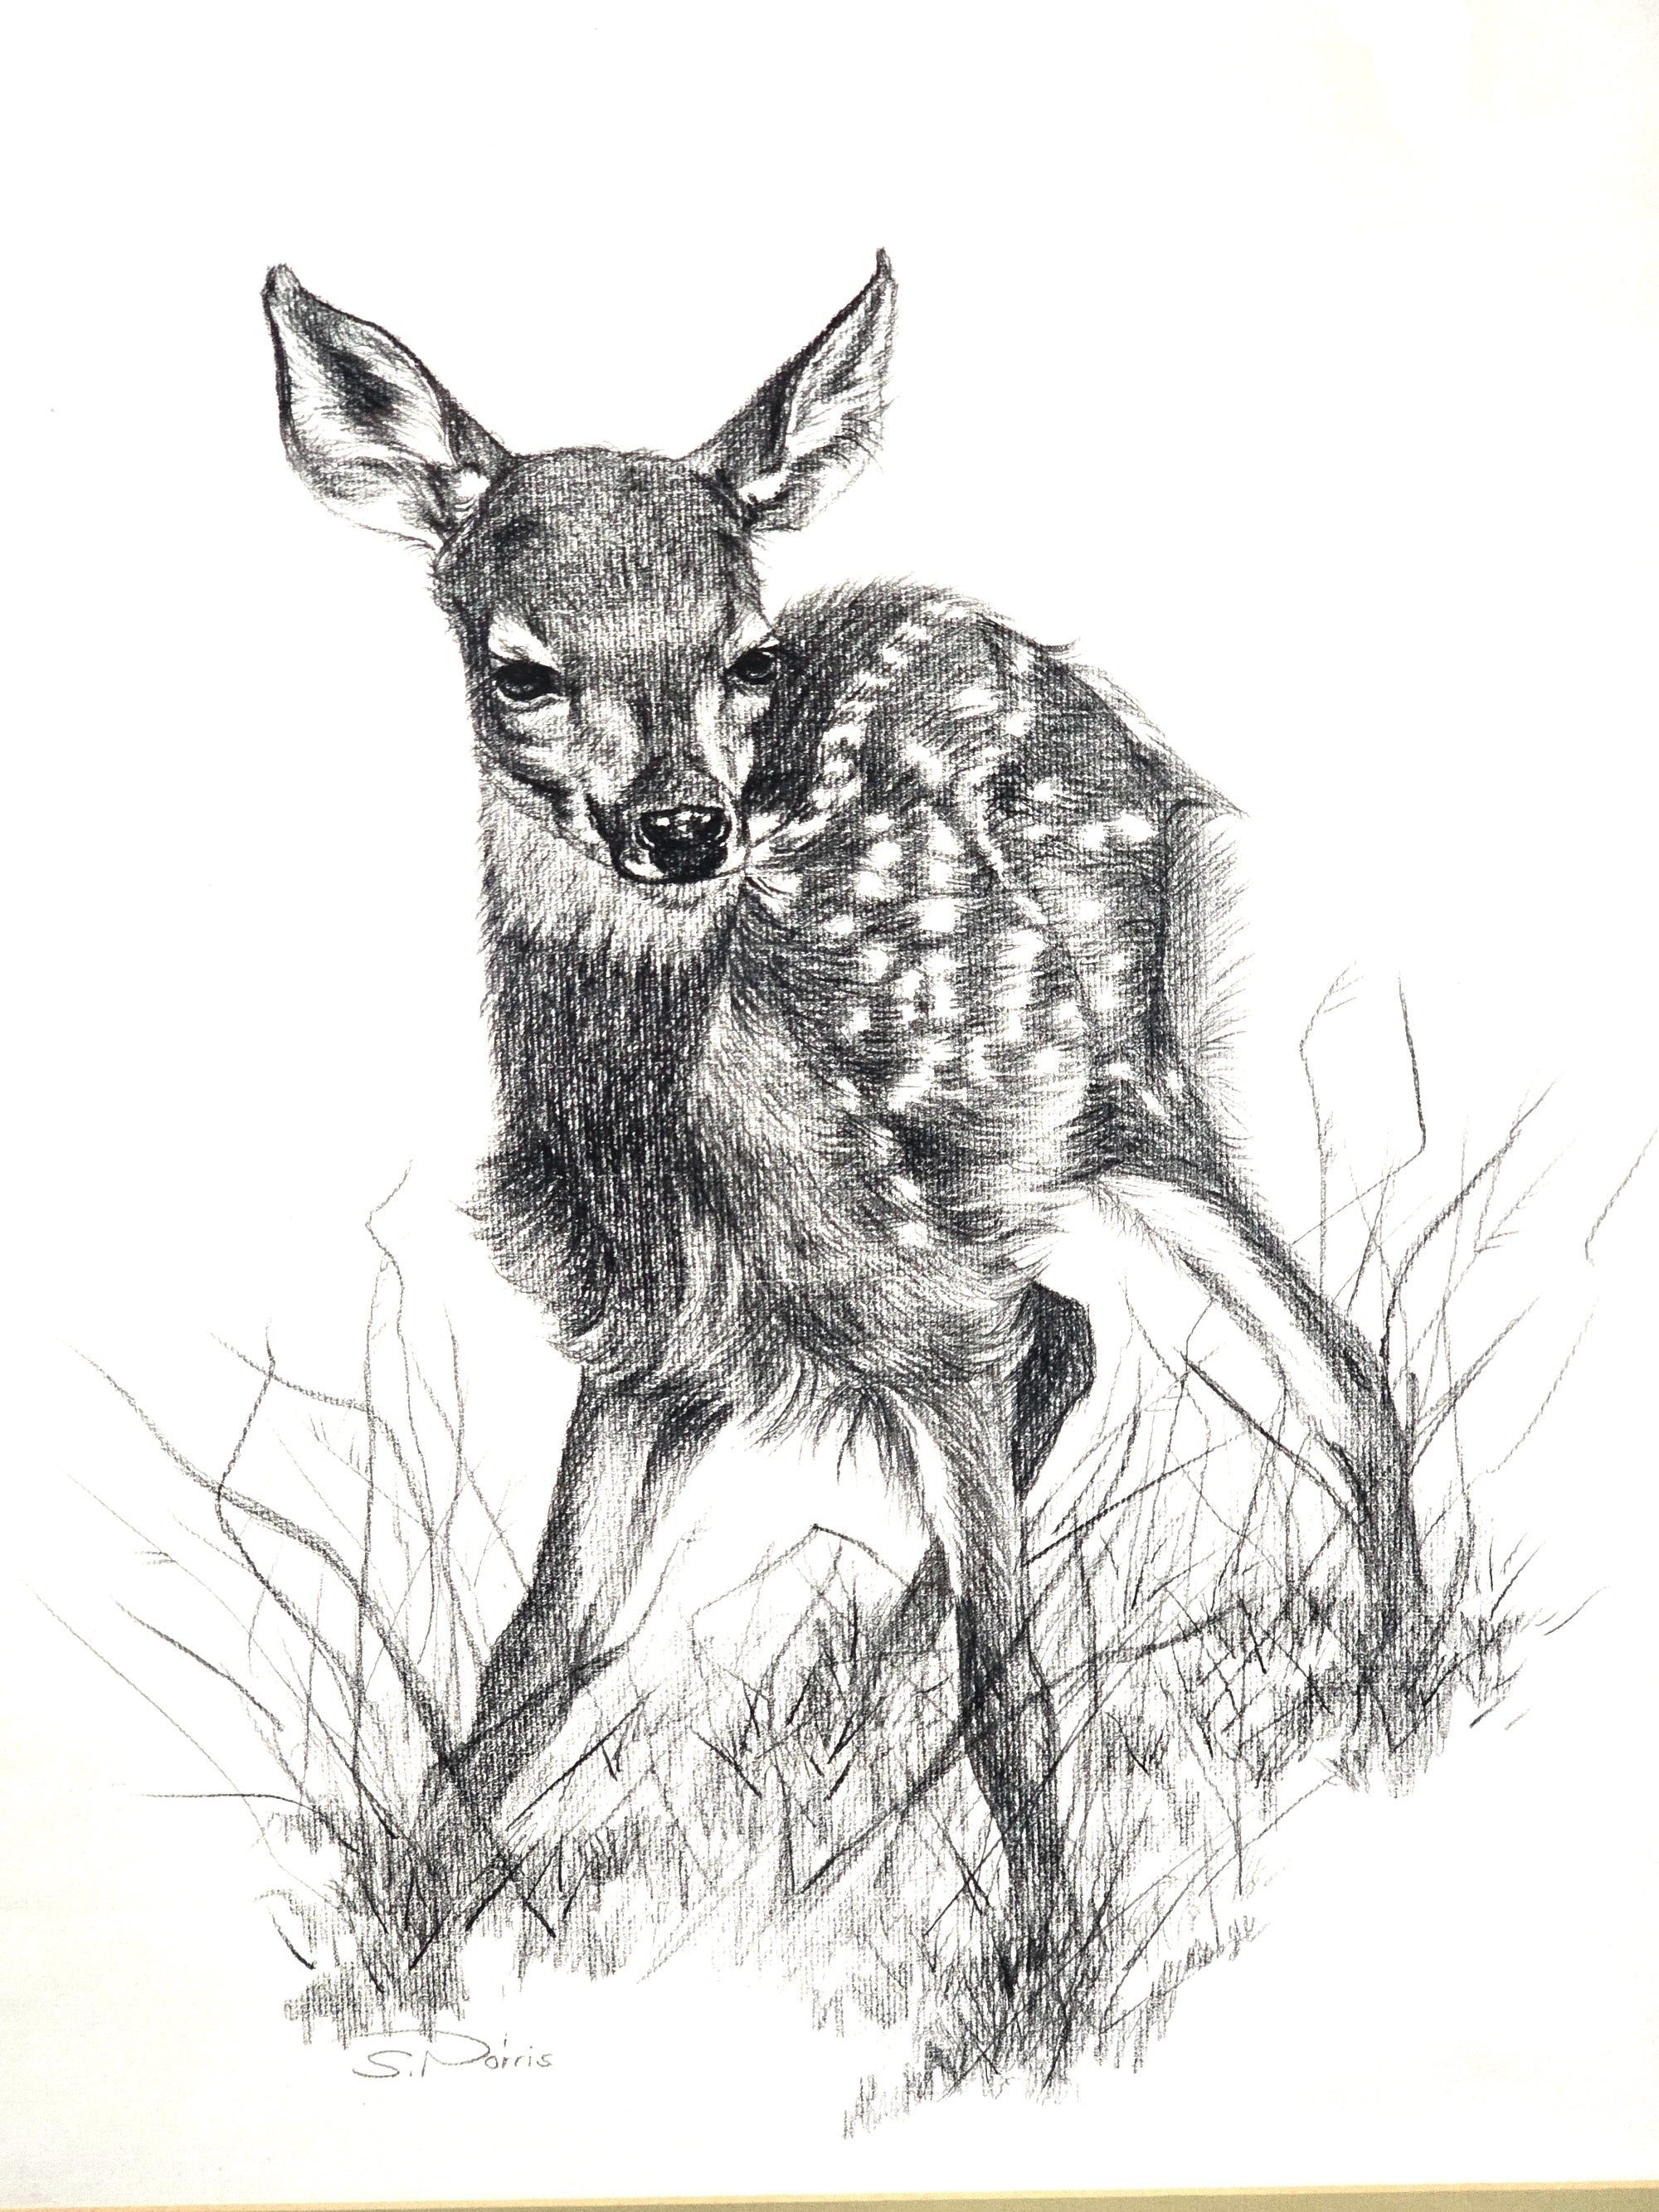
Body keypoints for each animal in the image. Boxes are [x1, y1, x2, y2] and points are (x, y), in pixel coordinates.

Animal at [262, 256, 1426, 1970]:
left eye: (745, 658)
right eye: (521, 669)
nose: (686, 826)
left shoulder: (921, 1313)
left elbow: (1011, 1689)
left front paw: (1048, 1972)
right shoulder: (651, 1342)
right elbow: (540, 1649)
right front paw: (399, 1949)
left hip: (1131, 1083)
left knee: (1330, 1358)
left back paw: (1396, 1698)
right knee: (1076, 1329)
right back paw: (843, 1701)